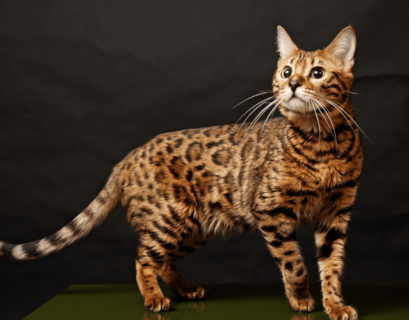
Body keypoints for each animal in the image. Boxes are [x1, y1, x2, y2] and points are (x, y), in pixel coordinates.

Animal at [2, 25, 360, 320]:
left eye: (317, 73)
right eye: (286, 72)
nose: (294, 84)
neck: (322, 143)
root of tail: (125, 159)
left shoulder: (336, 213)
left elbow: (333, 265)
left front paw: (335, 305)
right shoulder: (271, 210)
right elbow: (293, 263)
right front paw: (301, 300)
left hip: (196, 225)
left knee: (163, 261)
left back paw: (186, 290)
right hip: (170, 217)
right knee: (143, 259)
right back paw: (154, 299)